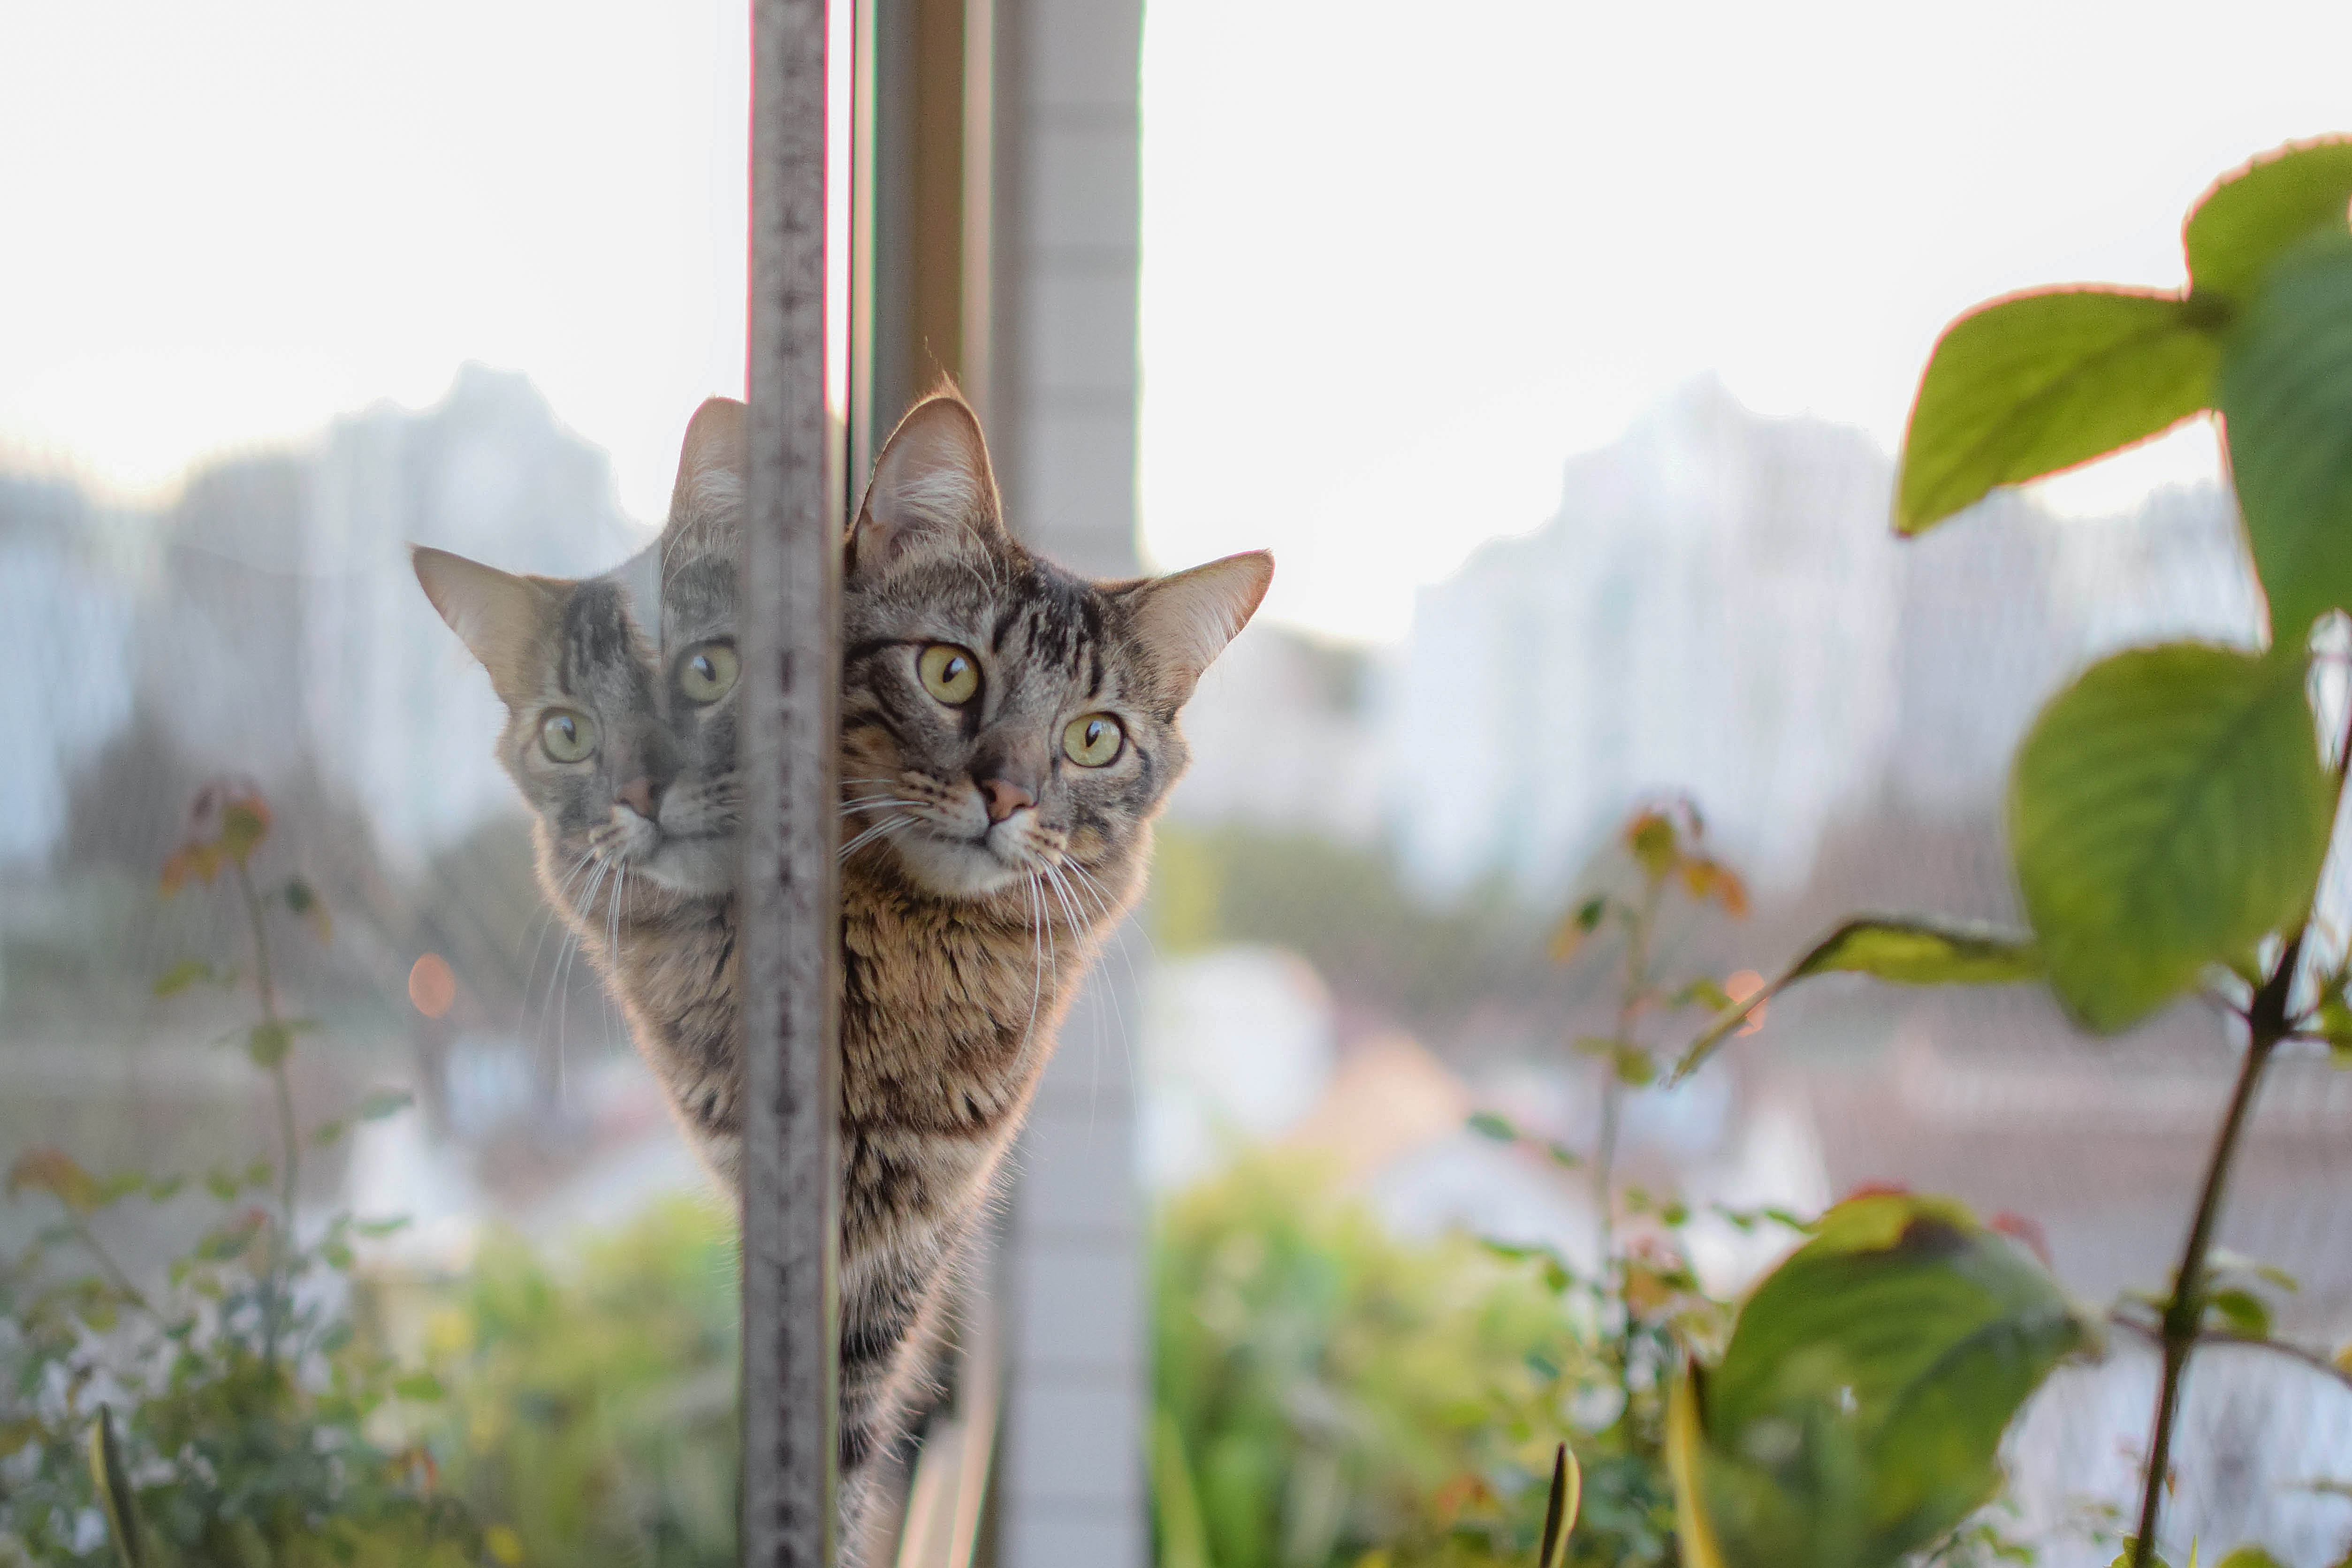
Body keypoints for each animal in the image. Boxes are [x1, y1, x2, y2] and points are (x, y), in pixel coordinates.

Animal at [414, 392, 1279, 1560]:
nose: (1008, 796)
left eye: (1094, 739)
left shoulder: (905, 1238)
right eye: (951, 671)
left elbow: (849, 1442)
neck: (903, 952)